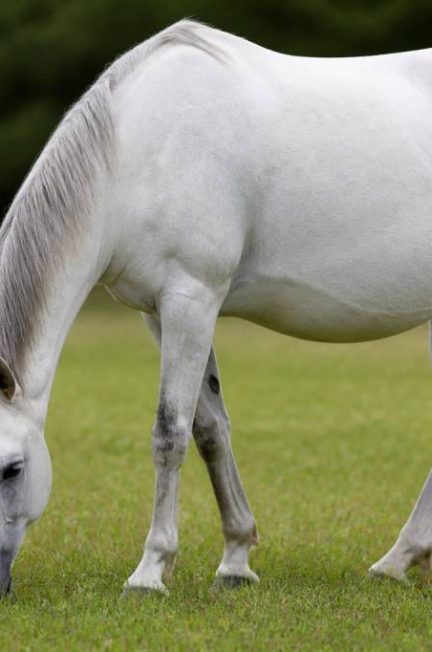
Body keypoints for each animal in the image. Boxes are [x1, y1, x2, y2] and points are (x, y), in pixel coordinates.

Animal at [1, 19, 432, 598]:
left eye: (13, 469)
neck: (139, 150)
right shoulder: (162, 311)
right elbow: (209, 429)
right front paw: (235, 561)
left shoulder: (192, 296)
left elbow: (170, 432)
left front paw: (149, 572)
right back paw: (399, 560)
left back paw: (397, 559)